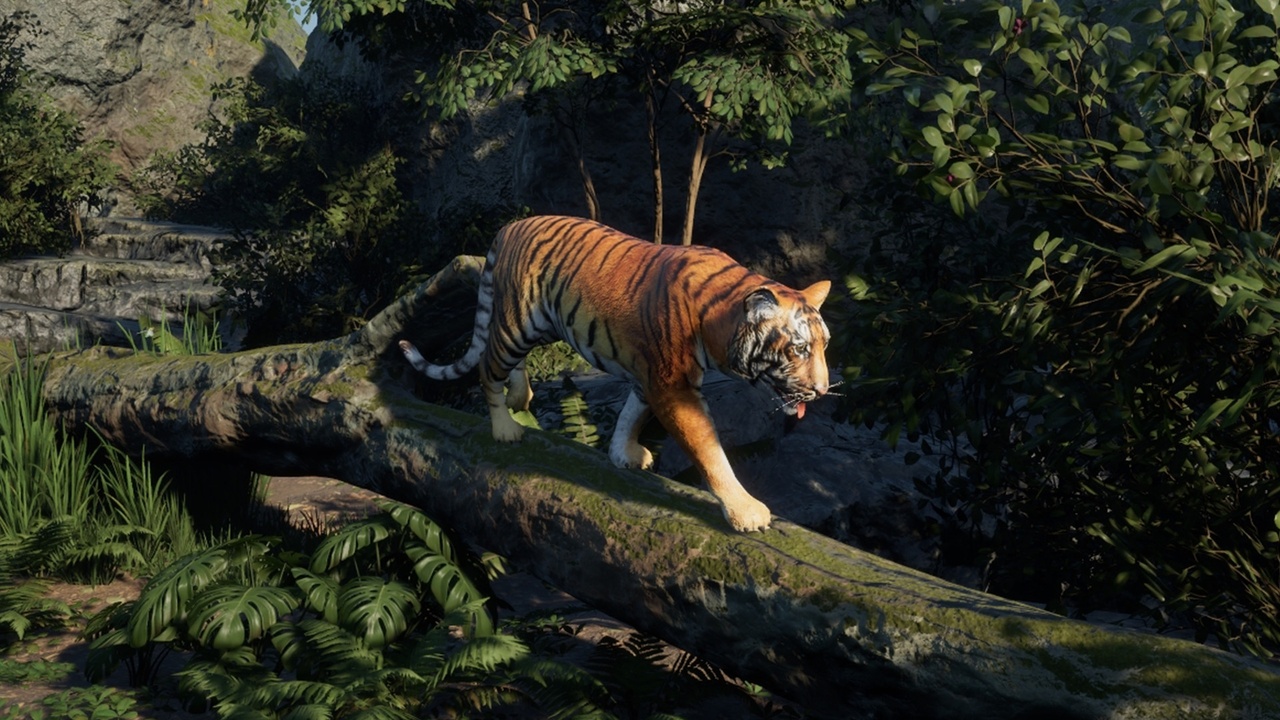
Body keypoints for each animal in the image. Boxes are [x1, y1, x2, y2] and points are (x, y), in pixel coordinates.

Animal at [398, 215, 832, 532]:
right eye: (799, 349)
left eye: (825, 345)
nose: (822, 390)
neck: (719, 324)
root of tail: (510, 227)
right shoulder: (673, 386)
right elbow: (709, 449)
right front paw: (745, 511)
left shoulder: (650, 378)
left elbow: (632, 414)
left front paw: (623, 453)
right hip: (517, 324)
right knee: (488, 366)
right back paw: (505, 427)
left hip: (541, 325)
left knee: (512, 364)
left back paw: (520, 396)